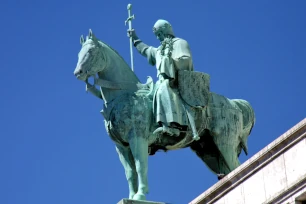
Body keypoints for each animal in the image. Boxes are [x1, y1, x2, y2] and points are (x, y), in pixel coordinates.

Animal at [73, 30, 255, 201]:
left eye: (91, 51)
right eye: (79, 53)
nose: (78, 72)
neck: (124, 95)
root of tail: (235, 104)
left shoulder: (137, 139)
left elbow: (140, 166)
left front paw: (140, 195)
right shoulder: (121, 147)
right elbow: (130, 173)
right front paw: (132, 196)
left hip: (225, 142)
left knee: (236, 167)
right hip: (209, 150)